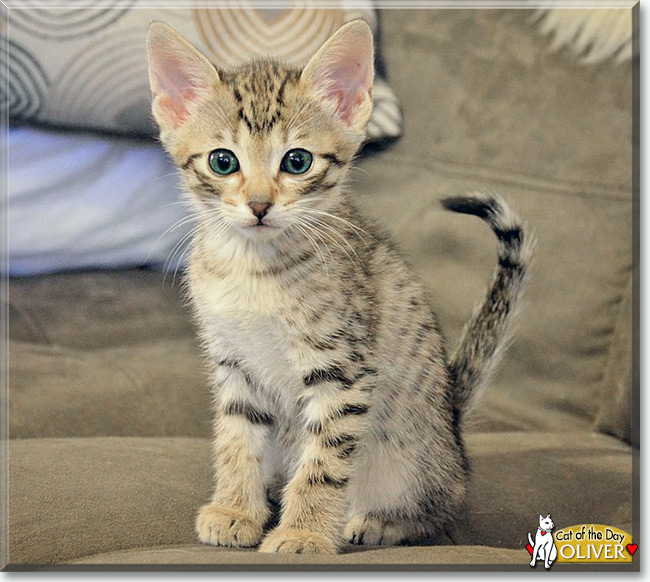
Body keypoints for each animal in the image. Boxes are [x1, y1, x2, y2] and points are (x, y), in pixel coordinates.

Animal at [144, 18, 528, 556]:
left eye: (297, 161)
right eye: (223, 162)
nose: (259, 205)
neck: (254, 270)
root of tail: (453, 428)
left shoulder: (342, 370)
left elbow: (323, 462)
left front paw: (303, 532)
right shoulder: (234, 363)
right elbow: (237, 439)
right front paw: (236, 510)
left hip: (413, 465)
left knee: (442, 509)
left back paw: (381, 522)